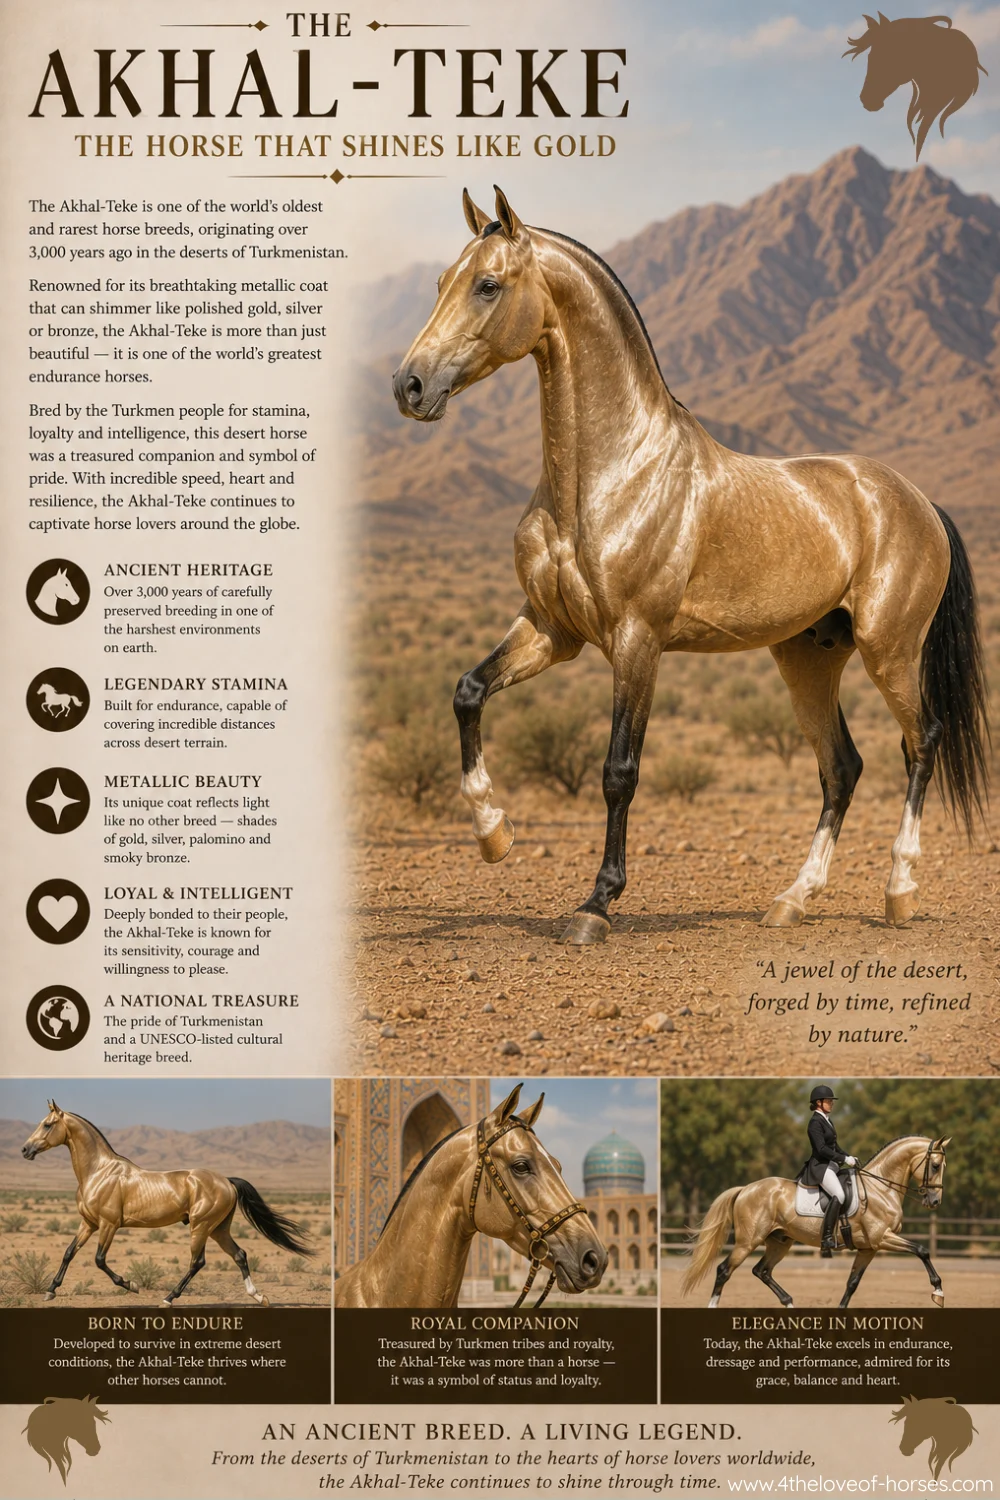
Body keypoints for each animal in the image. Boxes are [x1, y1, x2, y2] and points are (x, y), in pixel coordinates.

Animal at [22, 1101, 313, 1306]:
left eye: (47, 1124)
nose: (25, 1150)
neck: (99, 1172)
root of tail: (227, 1181)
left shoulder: (108, 1224)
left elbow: (99, 1260)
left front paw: (132, 1285)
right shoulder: (89, 1224)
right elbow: (69, 1253)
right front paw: (50, 1291)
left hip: (200, 1226)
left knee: (197, 1262)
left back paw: (169, 1298)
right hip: (218, 1229)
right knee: (239, 1255)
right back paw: (259, 1297)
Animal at [392, 188, 989, 945]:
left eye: (488, 285)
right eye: (444, 280)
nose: (409, 386)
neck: (611, 473)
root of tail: (917, 499)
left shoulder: (637, 641)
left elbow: (619, 770)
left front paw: (596, 905)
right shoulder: (552, 631)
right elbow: (468, 692)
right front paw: (494, 836)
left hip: (891, 649)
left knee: (921, 744)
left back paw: (898, 891)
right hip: (809, 657)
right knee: (841, 768)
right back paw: (793, 899)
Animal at [681, 1135, 950, 1310]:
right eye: (936, 1166)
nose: (935, 1201)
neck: (880, 1187)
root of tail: (746, 1189)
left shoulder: (869, 1248)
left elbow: (852, 1283)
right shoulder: (882, 1237)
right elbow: (922, 1250)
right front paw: (938, 1292)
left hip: (780, 1242)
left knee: (762, 1271)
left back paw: (790, 1303)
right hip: (748, 1242)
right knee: (724, 1270)